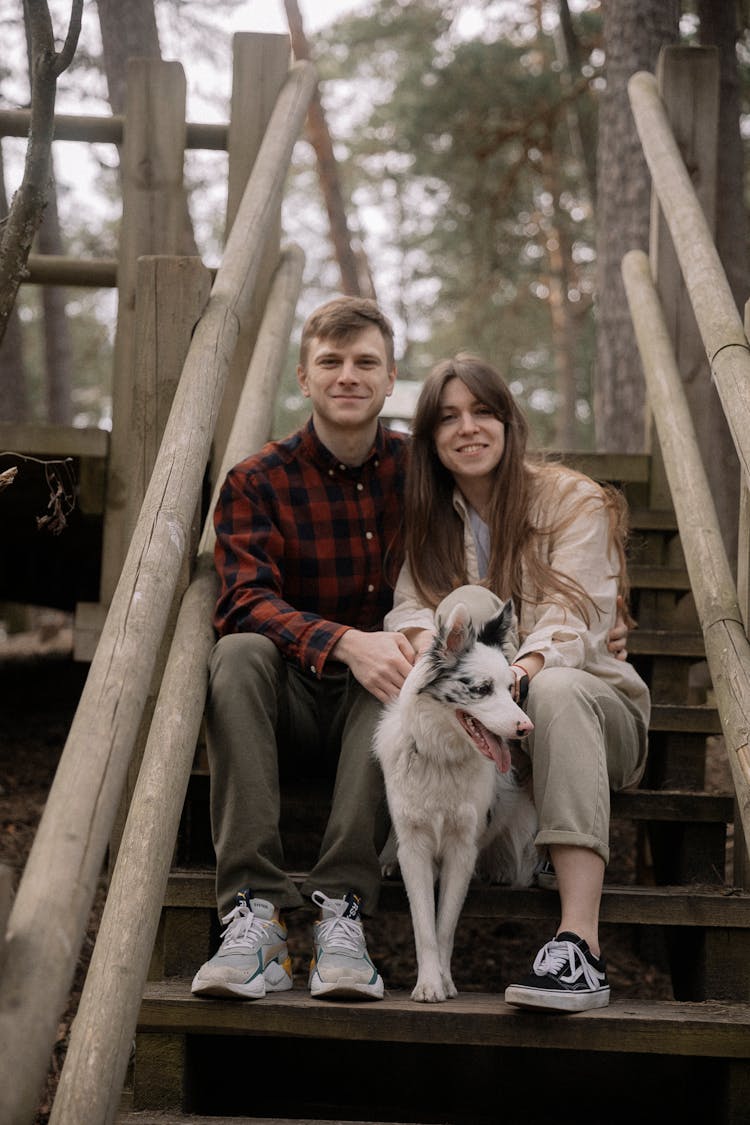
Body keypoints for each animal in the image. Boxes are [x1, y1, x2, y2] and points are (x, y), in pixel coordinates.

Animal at [375, 598, 539, 1003]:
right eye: (482, 689)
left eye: (510, 687)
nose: (526, 728)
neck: (440, 756)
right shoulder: (415, 846)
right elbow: (424, 925)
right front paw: (428, 983)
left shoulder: (461, 848)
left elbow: (445, 925)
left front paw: (444, 981)